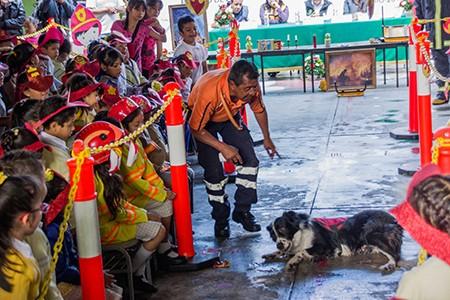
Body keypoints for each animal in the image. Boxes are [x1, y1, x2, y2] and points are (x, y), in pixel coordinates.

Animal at [262, 211, 402, 272]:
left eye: (282, 229)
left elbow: (302, 251)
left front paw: (292, 262)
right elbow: (285, 252)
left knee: (394, 254)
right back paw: (365, 249)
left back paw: (390, 264)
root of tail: (393, 220)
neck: (299, 237)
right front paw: (272, 254)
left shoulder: (327, 246)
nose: (279, 244)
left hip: (369, 231)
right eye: (273, 235)